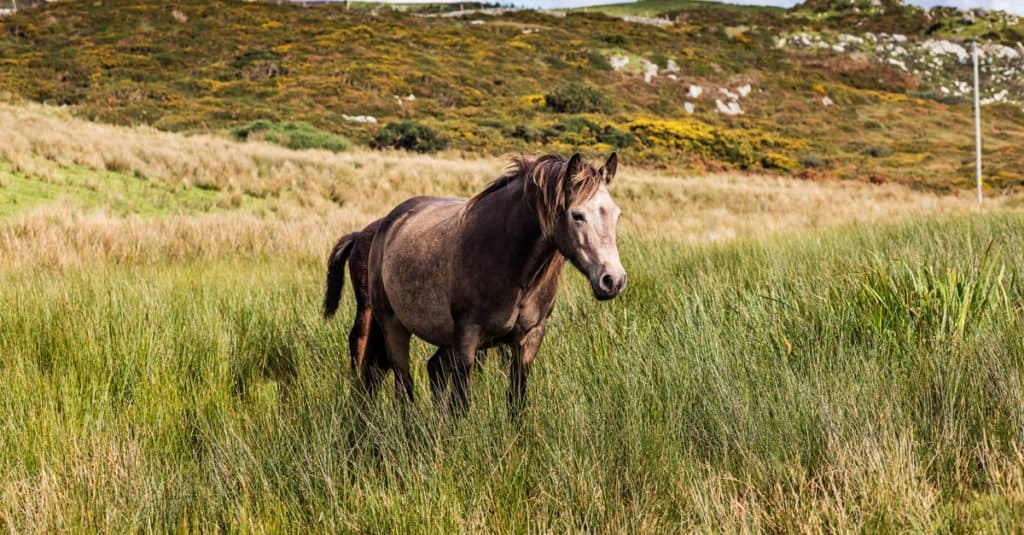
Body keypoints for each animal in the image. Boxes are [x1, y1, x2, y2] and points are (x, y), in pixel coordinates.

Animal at [364, 151, 626, 414]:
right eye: (577, 215)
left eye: (616, 214)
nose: (613, 280)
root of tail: (390, 222)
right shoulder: (467, 339)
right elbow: (461, 405)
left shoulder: (530, 338)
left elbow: (516, 400)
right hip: (394, 326)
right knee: (404, 387)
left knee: (433, 370)